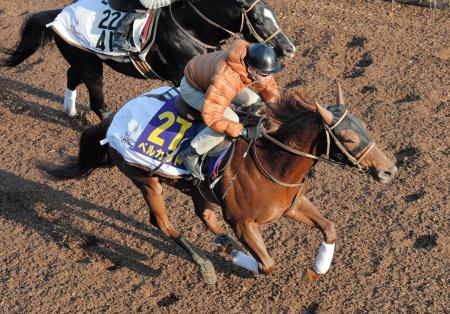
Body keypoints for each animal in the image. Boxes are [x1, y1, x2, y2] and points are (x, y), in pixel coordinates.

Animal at [0, 0, 296, 120]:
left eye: (273, 14)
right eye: (259, 20)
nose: (289, 48)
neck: (190, 28)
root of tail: (58, 13)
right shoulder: (184, 76)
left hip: (84, 59)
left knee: (72, 76)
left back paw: (71, 112)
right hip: (91, 66)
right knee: (97, 101)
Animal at [44, 84, 398, 284]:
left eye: (365, 127)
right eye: (348, 138)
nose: (389, 170)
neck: (272, 161)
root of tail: (112, 120)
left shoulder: (291, 205)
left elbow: (330, 228)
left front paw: (315, 271)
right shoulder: (242, 222)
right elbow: (267, 264)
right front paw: (243, 261)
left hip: (195, 189)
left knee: (205, 215)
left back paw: (222, 244)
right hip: (145, 179)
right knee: (162, 223)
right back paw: (207, 263)